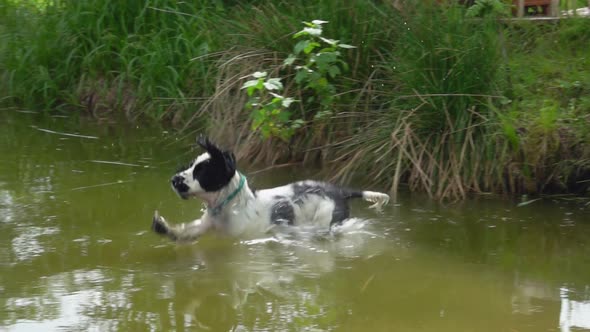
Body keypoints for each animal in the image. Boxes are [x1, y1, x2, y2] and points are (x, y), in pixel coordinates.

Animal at [153, 136, 394, 243]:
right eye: (191, 165)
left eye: (202, 172)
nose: (174, 180)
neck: (231, 205)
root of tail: (341, 191)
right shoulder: (207, 225)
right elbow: (187, 231)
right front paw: (162, 226)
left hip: (325, 220)